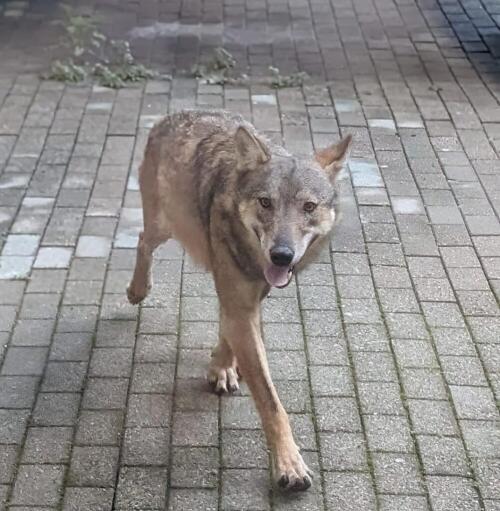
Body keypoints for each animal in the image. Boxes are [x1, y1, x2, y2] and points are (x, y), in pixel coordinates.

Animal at [127, 111, 350, 492]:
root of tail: (171, 116)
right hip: (164, 225)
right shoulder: (240, 299)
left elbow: (231, 334)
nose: (281, 255)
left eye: (308, 207)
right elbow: (272, 403)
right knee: (142, 240)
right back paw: (137, 290)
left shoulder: (252, 297)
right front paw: (289, 465)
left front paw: (222, 367)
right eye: (266, 202)